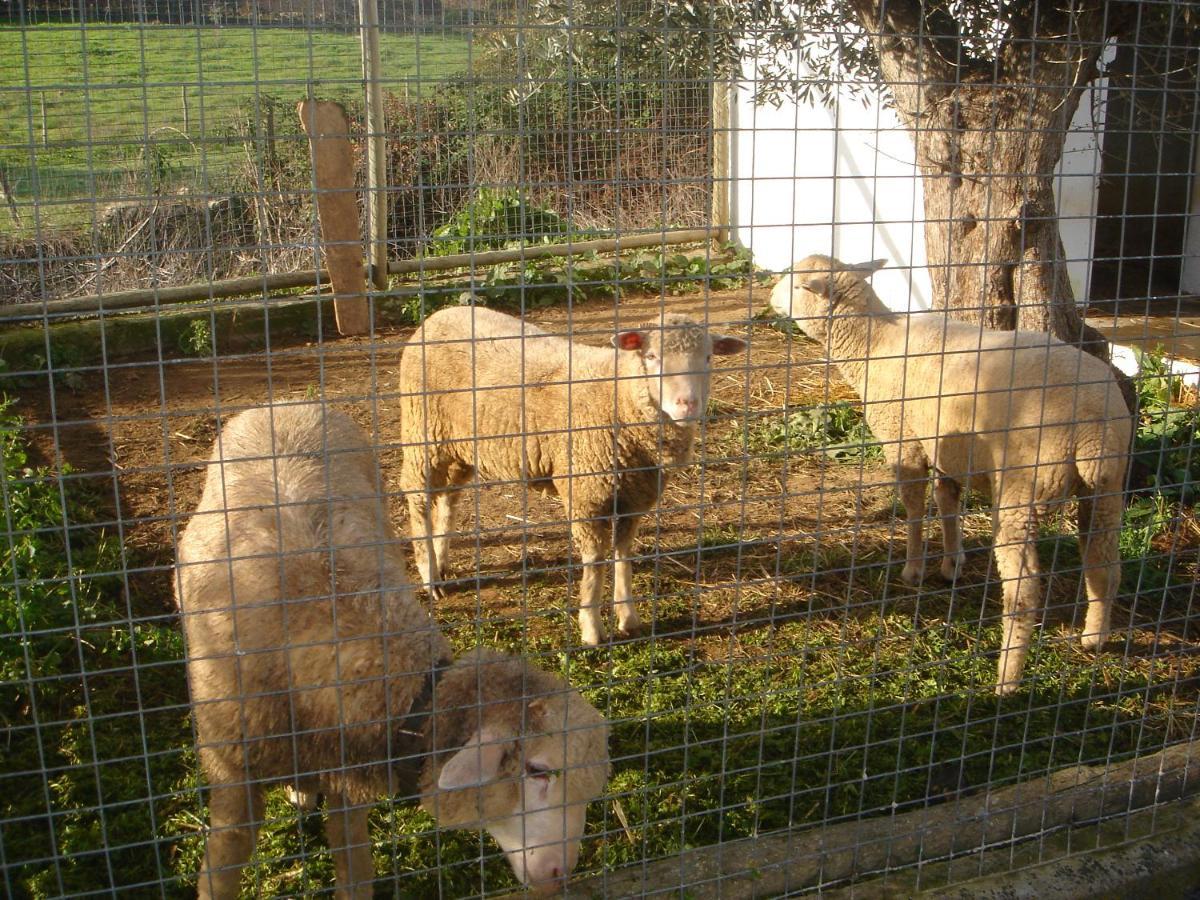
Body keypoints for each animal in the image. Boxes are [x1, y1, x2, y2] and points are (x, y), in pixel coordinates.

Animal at [174, 405, 609, 897]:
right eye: (537, 770)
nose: (559, 875)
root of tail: (284, 404)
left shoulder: (347, 774)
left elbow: (355, 868)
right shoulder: (231, 770)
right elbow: (223, 867)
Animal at [398, 307, 744, 643]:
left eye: (709, 358)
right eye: (651, 357)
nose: (688, 404)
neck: (618, 398)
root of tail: (439, 314)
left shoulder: (633, 499)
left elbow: (623, 556)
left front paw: (628, 617)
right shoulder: (586, 496)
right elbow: (595, 564)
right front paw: (591, 628)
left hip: (460, 446)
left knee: (449, 499)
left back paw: (441, 561)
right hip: (423, 431)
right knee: (418, 499)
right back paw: (430, 575)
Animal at [772, 255, 1128, 696]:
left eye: (798, 285)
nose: (769, 297)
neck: (875, 345)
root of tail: (1093, 427)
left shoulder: (903, 439)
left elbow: (913, 508)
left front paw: (913, 570)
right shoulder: (944, 446)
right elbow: (946, 502)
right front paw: (951, 563)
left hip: (1023, 487)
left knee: (1024, 591)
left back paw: (1006, 679)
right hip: (1107, 487)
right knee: (1104, 564)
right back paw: (1094, 638)